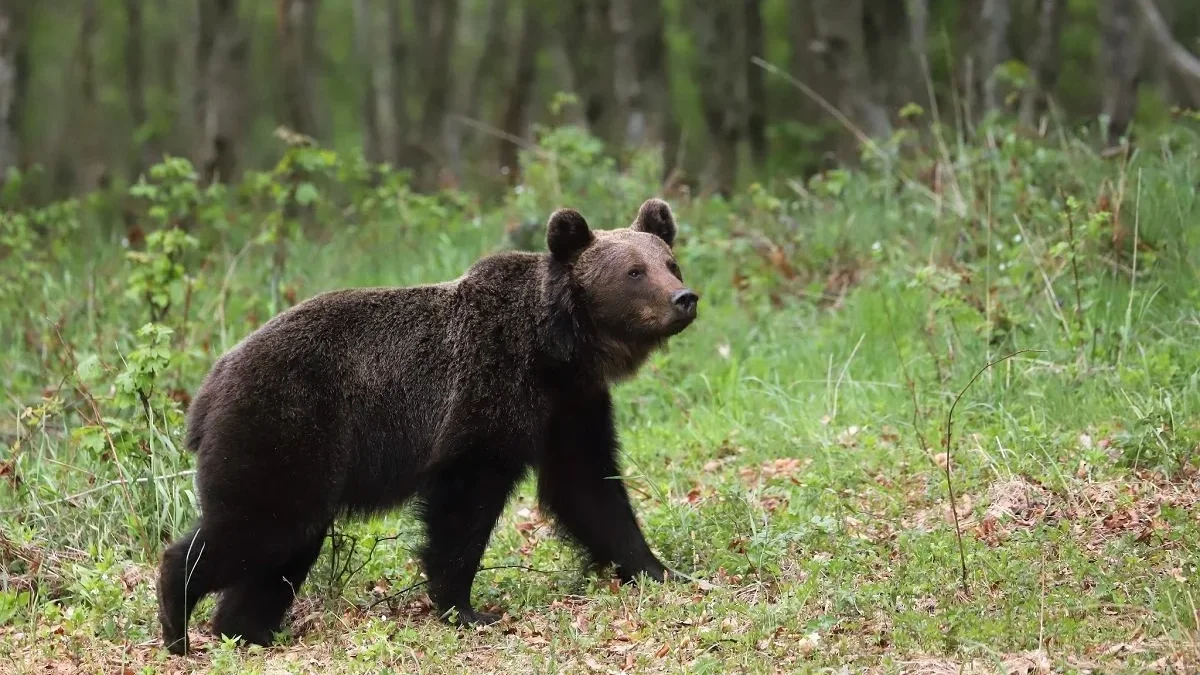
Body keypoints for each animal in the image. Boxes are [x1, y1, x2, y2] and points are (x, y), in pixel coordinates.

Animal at [159, 195, 700, 653]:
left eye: (669, 262)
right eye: (634, 272)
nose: (684, 298)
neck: (557, 349)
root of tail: (207, 390)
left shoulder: (571, 407)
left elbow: (589, 489)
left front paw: (663, 571)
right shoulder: (487, 393)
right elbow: (464, 503)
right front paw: (466, 608)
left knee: (284, 547)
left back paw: (247, 630)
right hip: (283, 425)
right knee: (258, 524)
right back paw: (177, 618)